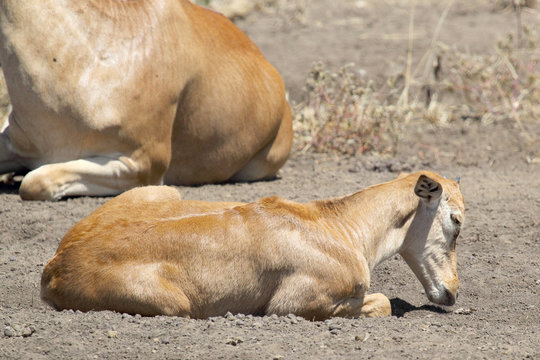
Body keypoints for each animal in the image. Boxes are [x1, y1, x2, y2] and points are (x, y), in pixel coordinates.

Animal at [42, 170, 464, 320]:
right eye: (456, 220)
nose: (452, 292)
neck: (338, 226)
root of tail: (56, 266)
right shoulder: (291, 306)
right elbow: (383, 303)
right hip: (176, 306)